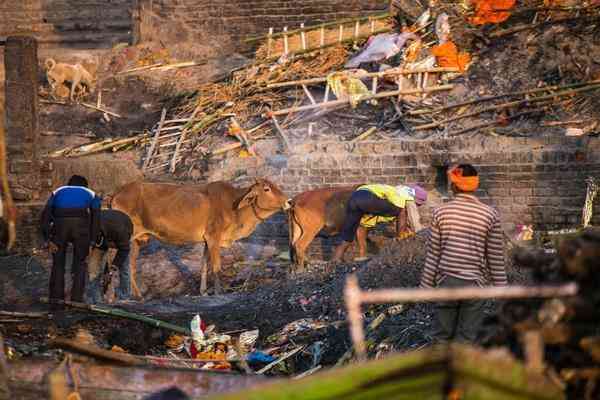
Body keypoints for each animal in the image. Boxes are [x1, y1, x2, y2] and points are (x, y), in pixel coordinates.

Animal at [113, 178, 292, 296]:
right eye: (267, 189)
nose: (289, 201)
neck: (234, 208)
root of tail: (116, 194)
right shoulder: (213, 237)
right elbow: (216, 267)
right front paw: (219, 292)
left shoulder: (207, 240)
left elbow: (204, 265)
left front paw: (203, 291)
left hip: (137, 240)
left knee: (130, 265)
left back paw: (137, 296)